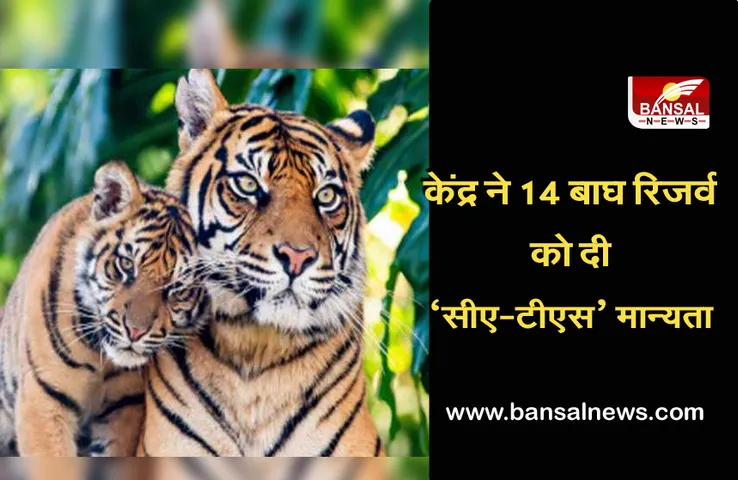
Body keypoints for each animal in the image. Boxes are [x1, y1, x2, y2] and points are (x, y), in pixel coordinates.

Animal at [0, 160, 207, 458]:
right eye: (126, 265)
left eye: (177, 287)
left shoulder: (124, 407)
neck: (100, 358)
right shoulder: (44, 397)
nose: (136, 331)